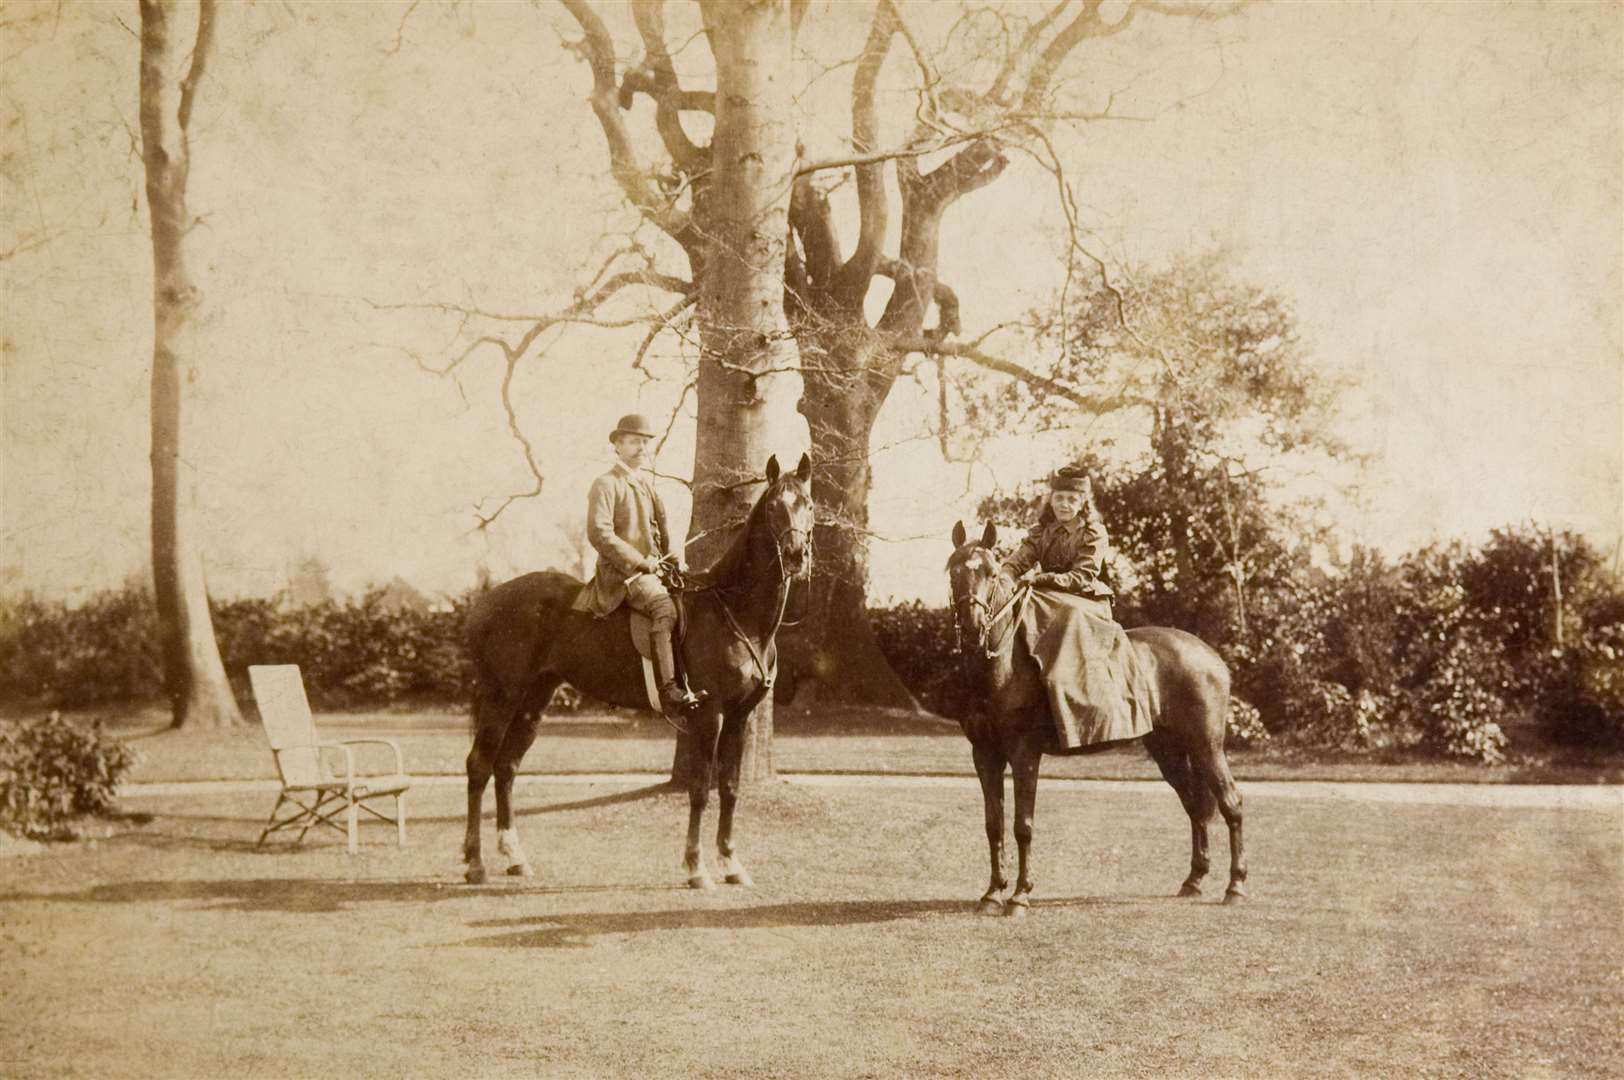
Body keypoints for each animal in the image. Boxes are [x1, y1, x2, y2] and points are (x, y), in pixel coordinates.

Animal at [464, 451, 818, 883]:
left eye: (809, 505)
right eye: (772, 507)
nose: (797, 556)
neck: (734, 612)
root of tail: (486, 600)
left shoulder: (740, 717)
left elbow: (730, 787)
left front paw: (731, 863)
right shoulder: (710, 715)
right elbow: (700, 789)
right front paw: (696, 866)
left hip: (533, 701)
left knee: (506, 767)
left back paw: (514, 857)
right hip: (502, 697)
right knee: (479, 766)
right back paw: (475, 862)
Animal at [948, 519, 1247, 915]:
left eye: (991, 573)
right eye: (953, 572)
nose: (972, 626)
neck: (1003, 667)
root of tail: (1212, 656)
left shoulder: (1025, 753)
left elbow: (1022, 825)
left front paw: (1020, 895)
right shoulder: (985, 754)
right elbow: (993, 824)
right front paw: (993, 893)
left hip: (1206, 747)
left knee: (1231, 803)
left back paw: (1236, 885)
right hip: (1169, 751)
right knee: (1196, 807)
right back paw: (1194, 880)